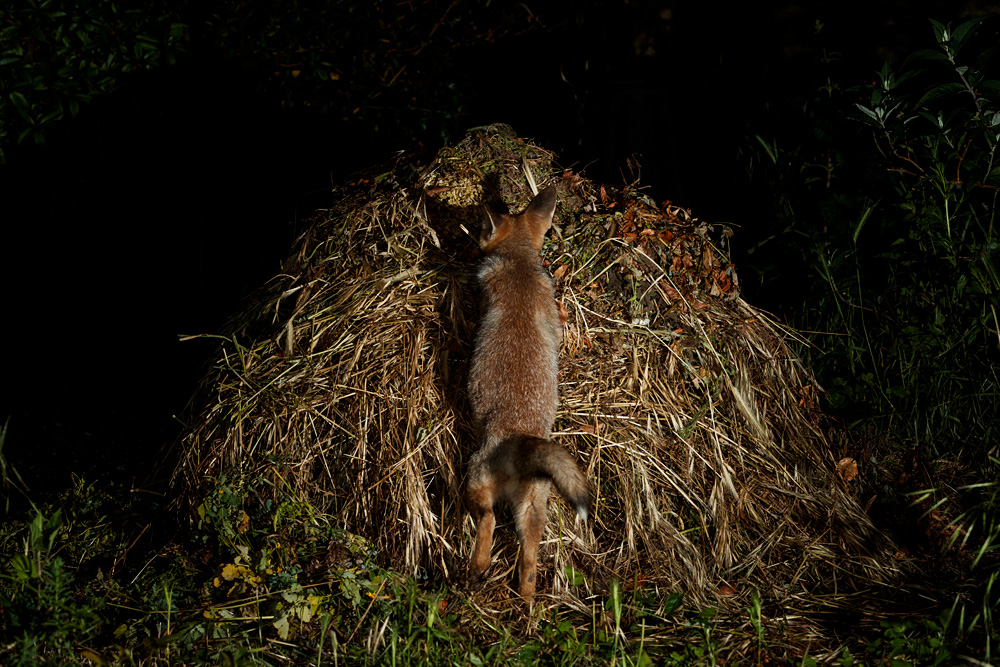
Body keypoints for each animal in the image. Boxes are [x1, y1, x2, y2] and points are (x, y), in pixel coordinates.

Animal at [466, 185, 592, 602]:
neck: (521, 263)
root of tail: (519, 441)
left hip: (475, 480)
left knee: (488, 519)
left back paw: (479, 568)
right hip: (533, 513)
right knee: (529, 565)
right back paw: (527, 606)